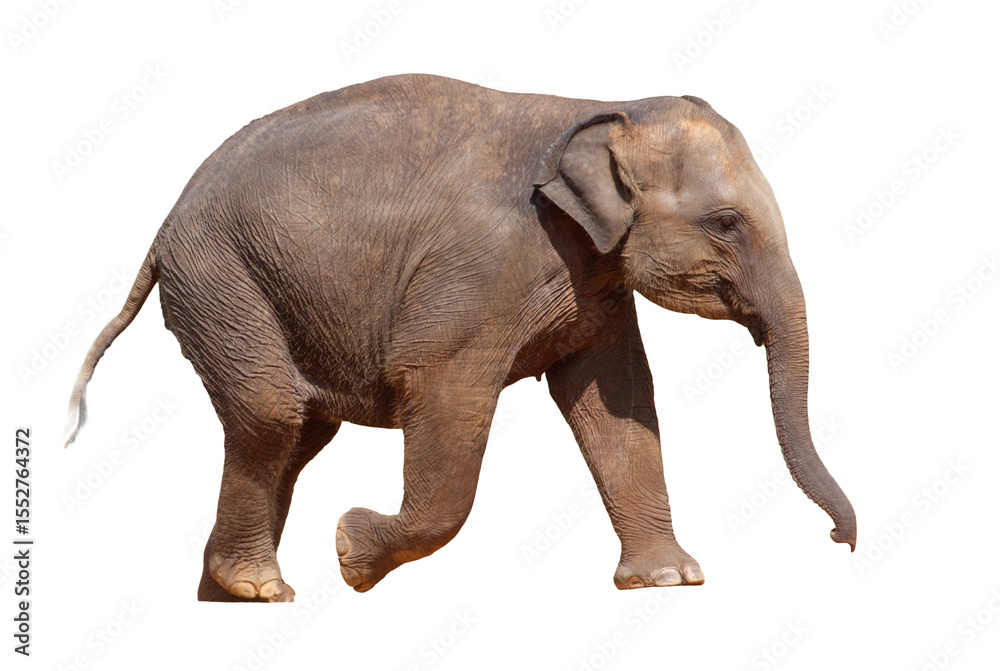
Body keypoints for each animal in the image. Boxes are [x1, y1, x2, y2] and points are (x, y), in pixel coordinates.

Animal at [65, 73, 856, 602]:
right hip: (223, 279)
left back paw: (229, 594)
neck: (597, 105)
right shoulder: (482, 266)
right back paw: (257, 588)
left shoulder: (595, 272)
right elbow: (440, 384)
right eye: (726, 222)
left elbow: (618, 400)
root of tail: (164, 226)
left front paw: (669, 581)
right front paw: (351, 549)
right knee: (272, 413)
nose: (839, 541)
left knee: (297, 431)